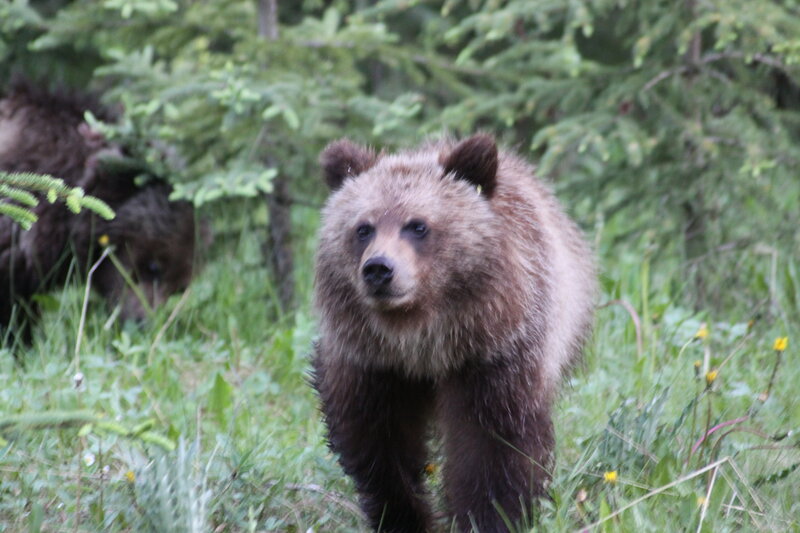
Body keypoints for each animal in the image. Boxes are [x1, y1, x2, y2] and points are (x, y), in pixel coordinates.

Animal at [311, 134, 596, 532]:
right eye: (363, 228)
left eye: (417, 225)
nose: (379, 269)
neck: (422, 339)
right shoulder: (372, 364)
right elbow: (379, 445)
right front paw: (403, 516)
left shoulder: (495, 355)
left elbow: (492, 445)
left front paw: (490, 517)